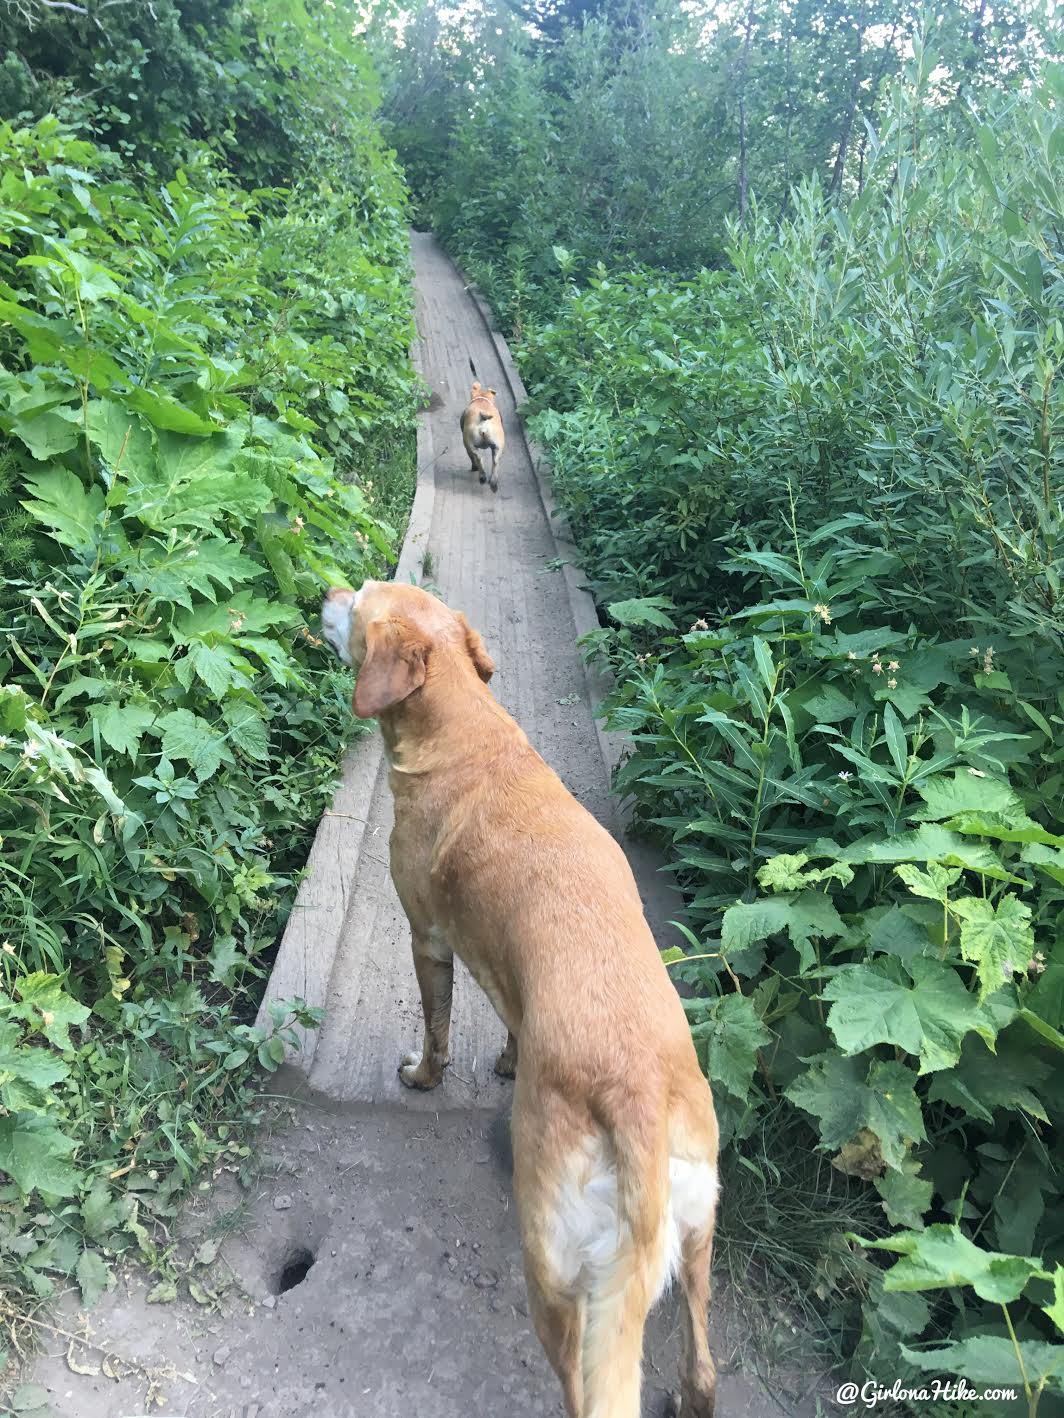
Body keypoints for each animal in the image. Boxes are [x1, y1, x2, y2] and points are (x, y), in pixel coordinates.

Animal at [320, 578, 720, 1418]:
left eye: (361, 600)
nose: (327, 588)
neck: (466, 732)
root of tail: (635, 1102)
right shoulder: (505, 975)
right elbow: (508, 1026)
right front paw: (506, 1062)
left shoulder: (427, 940)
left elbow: (438, 1031)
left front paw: (422, 1078)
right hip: (698, 1236)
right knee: (702, 1368)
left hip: (557, 1275)